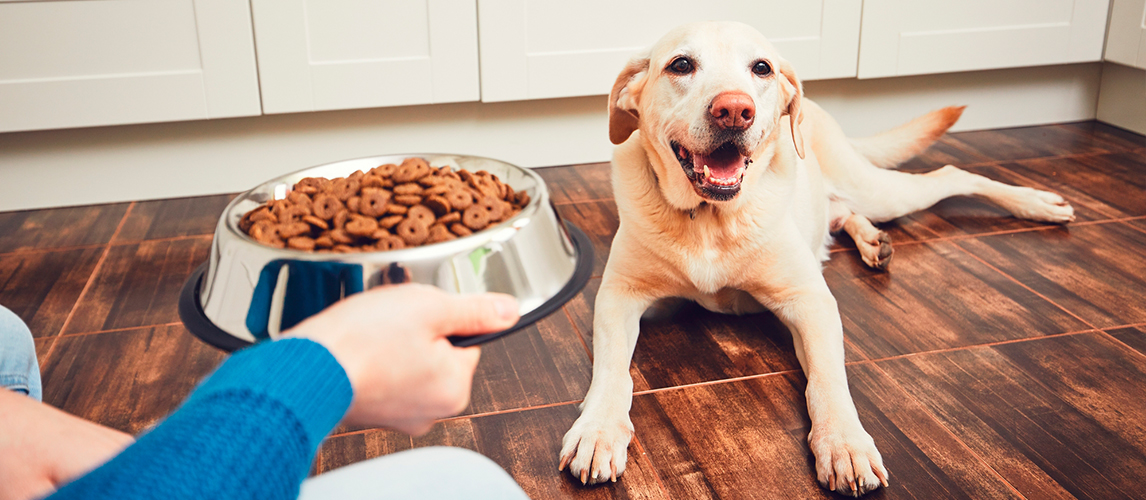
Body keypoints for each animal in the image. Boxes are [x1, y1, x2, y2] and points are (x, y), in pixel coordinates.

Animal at [556, 20, 1072, 495]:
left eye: (761, 68)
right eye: (680, 64)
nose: (735, 110)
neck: (711, 219)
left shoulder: (810, 302)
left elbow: (826, 378)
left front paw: (844, 444)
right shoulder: (619, 296)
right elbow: (612, 372)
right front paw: (597, 430)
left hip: (879, 189)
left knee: (949, 174)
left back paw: (1038, 204)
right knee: (844, 213)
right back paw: (873, 242)